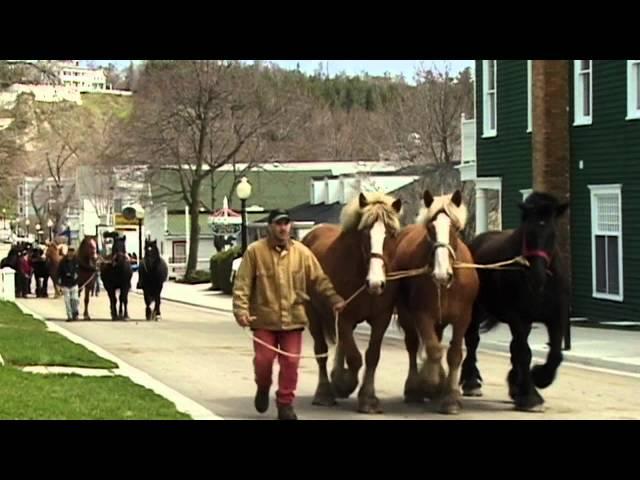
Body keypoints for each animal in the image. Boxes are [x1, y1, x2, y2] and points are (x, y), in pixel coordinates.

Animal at [304, 191, 400, 412]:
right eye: (365, 233)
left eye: (391, 234)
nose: (376, 283)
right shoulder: (343, 316)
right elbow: (355, 358)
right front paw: (344, 383)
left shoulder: (381, 319)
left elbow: (372, 356)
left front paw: (368, 398)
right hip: (313, 315)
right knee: (321, 351)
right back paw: (324, 392)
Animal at [392, 189, 478, 414]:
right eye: (431, 228)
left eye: (455, 228)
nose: (442, 274)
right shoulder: (422, 315)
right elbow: (432, 349)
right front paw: (429, 383)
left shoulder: (463, 318)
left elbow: (454, 354)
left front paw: (451, 396)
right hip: (406, 315)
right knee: (413, 345)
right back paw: (414, 388)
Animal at [460, 192, 568, 412]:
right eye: (528, 232)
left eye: (552, 234)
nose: (537, 277)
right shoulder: (518, 317)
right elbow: (524, 352)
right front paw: (531, 397)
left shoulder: (555, 317)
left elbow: (554, 354)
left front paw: (537, 378)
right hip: (476, 311)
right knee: (473, 340)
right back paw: (471, 382)